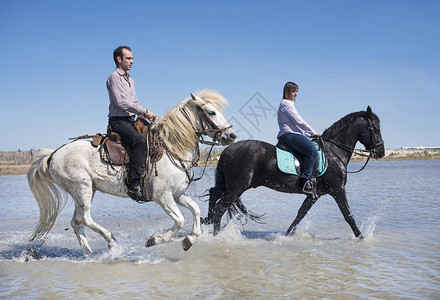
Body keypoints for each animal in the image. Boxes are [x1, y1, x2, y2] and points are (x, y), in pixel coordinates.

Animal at [26, 90, 235, 256]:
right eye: (211, 112)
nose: (231, 135)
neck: (170, 149)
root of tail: (54, 154)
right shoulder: (163, 197)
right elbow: (180, 221)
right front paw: (154, 240)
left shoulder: (176, 195)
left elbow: (196, 211)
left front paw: (189, 240)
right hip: (81, 188)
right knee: (84, 218)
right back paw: (112, 243)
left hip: (86, 191)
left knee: (77, 222)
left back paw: (89, 255)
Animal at [203, 106, 384, 238]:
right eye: (375, 129)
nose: (381, 152)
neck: (333, 152)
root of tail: (227, 150)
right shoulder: (338, 189)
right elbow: (348, 215)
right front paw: (361, 237)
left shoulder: (314, 195)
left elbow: (300, 215)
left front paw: (287, 235)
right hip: (236, 188)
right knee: (219, 208)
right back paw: (216, 237)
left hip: (228, 186)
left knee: (213, 193)